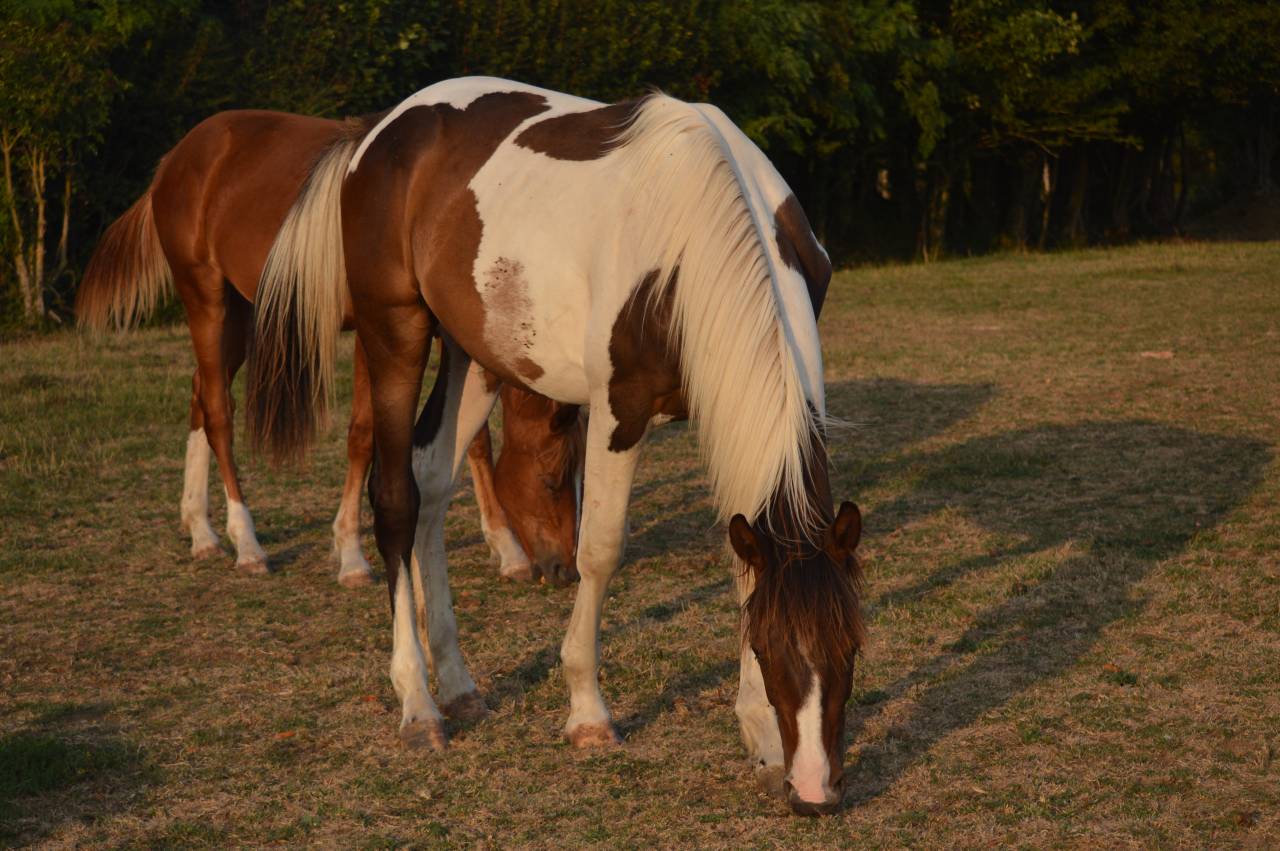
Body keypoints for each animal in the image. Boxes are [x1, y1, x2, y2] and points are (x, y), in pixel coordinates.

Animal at [75, 109, 582, 591]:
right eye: (553, 476)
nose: (565, 570)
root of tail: (177, 157)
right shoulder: (373, 335)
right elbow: (363, 435)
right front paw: (351, 555)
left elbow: (474, 439)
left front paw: (506, 548)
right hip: (205, 300)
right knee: (218, 412)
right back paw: (246, 543)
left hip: (240, 315)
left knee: (201, 392)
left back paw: (201, 530)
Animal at [245, 77, 864, 815]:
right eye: (772, 650)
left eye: (852, 647)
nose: (815, 790)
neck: (694, 232)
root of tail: (378, 131)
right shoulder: (618, 410)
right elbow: (598, 550)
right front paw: (588, 713)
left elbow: (745, 561)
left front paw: (763, 741)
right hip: (394, 331)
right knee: (395, 498)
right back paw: (419, 704)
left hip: (474, 357)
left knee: (432, 482)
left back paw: (457, 683)